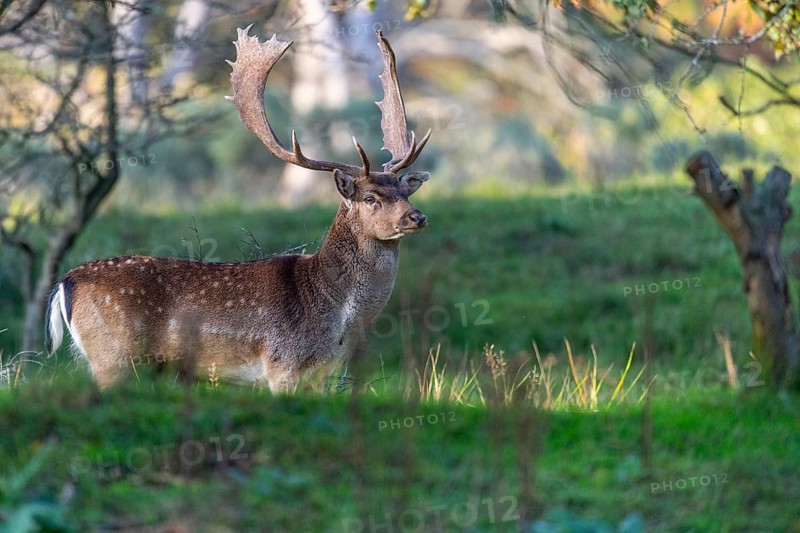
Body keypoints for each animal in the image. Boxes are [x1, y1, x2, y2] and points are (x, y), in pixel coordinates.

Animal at [44, 25, 431, 392]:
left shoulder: (320, 375)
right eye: (370, 198)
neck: (335, 320)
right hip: (113, 357)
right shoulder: (282, 364)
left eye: (404, 192)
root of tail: (66, 281)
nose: (417, 216)